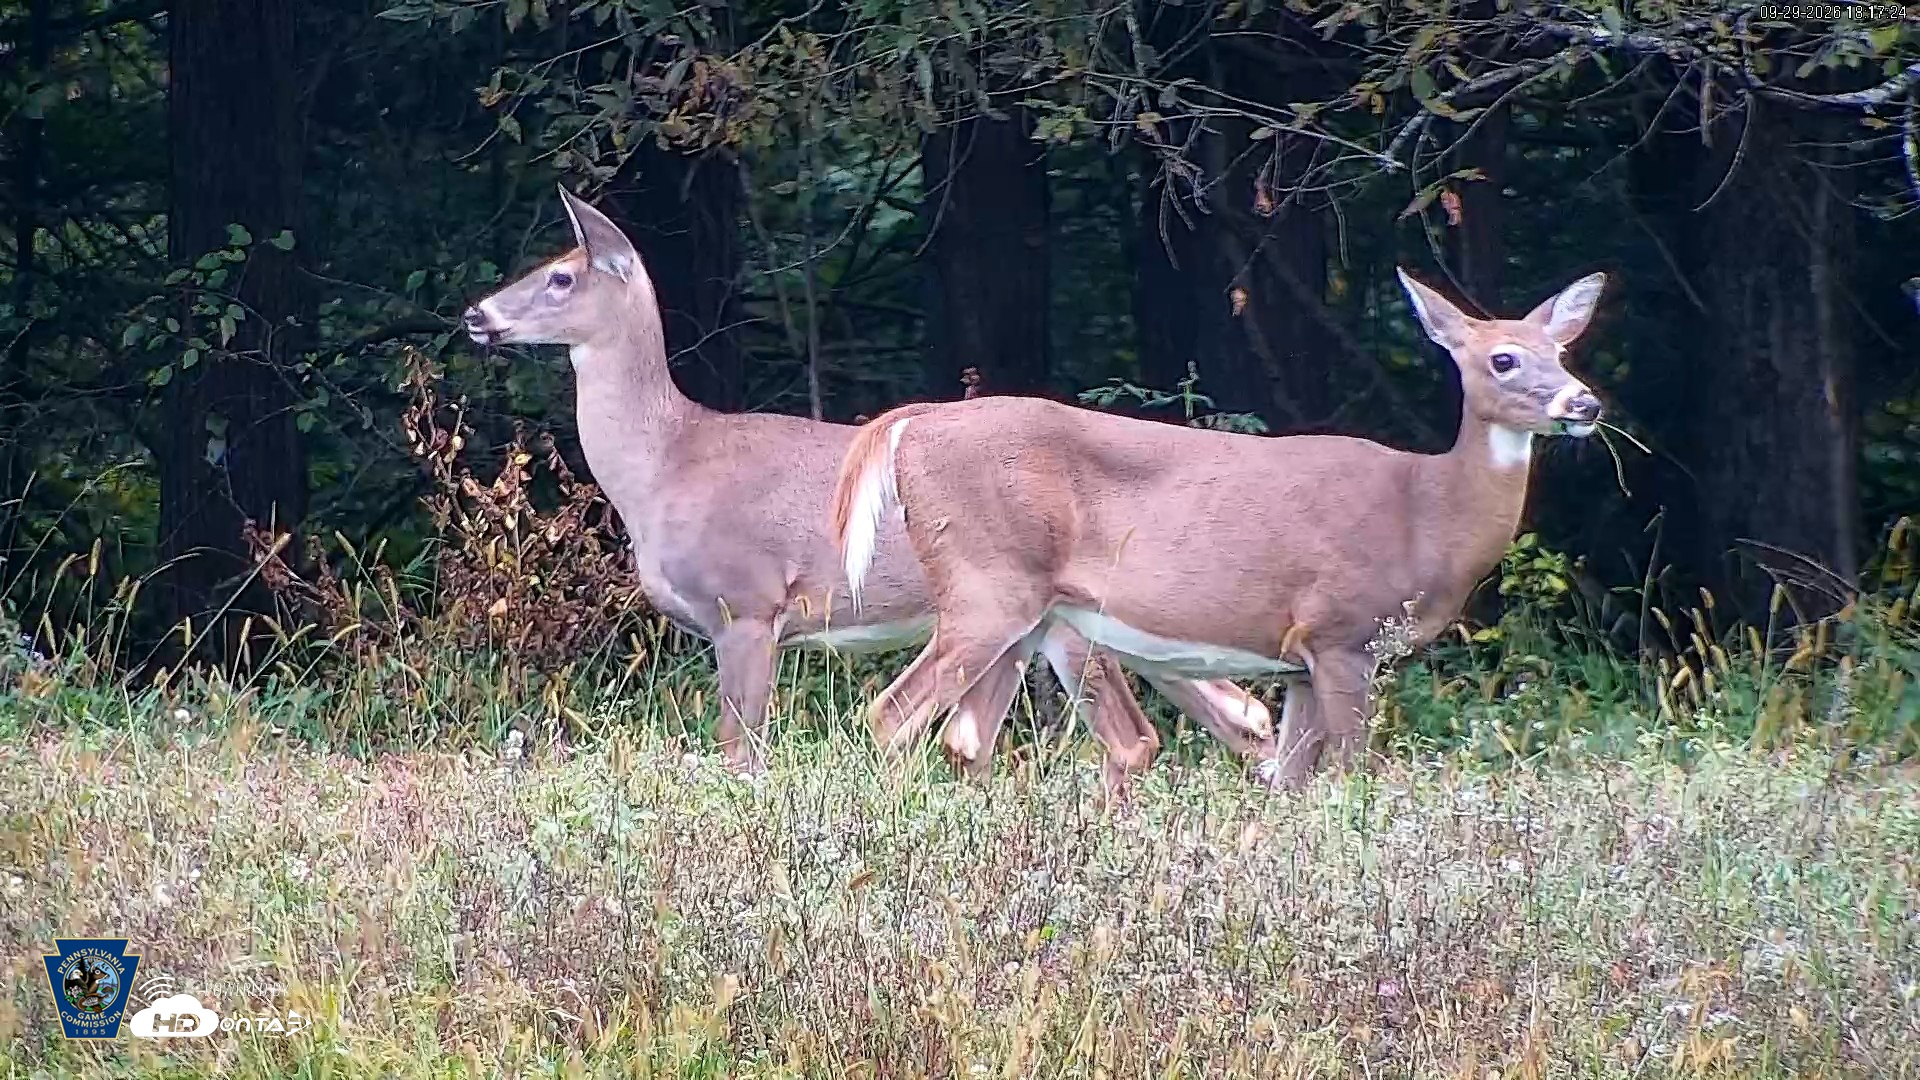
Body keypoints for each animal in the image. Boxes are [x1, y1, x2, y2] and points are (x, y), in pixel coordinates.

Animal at [461, 185, 1279, 794]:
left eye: (562, 275)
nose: (476, 314)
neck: (666, 465)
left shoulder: (748, 605)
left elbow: (742, 754)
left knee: (1155, 730)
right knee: (1235, 712)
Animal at [831, 268, 1608, 787]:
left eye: (1562, 354)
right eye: (1503, 358)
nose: (1586, 404)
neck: (1427, 516)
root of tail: (912, 424)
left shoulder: (1298, 661)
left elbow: (1291, 784)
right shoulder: (1341, 633)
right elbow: (1351, 777)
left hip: (1027, 615)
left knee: (965, 737)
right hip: (987, 585)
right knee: (890, 714)